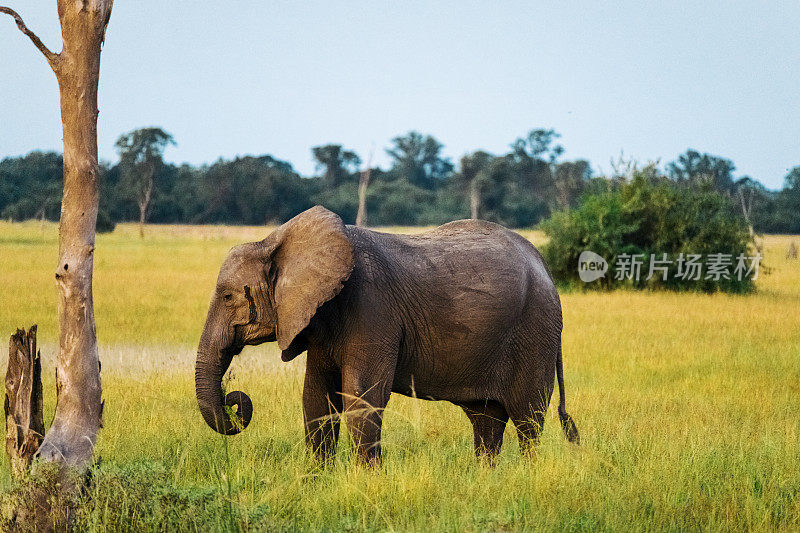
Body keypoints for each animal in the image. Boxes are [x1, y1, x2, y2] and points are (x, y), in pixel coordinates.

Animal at [195, 206, 580, 464]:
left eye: (227, 296)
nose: (235, 400)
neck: (275, 241)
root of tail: (544, 266)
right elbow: (316, 400)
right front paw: (315, 480)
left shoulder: (372, 309)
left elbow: (360, 398)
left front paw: (366, 481)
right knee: (487, 421)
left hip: (535, 330)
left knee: (528, 419)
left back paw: (527, 474)